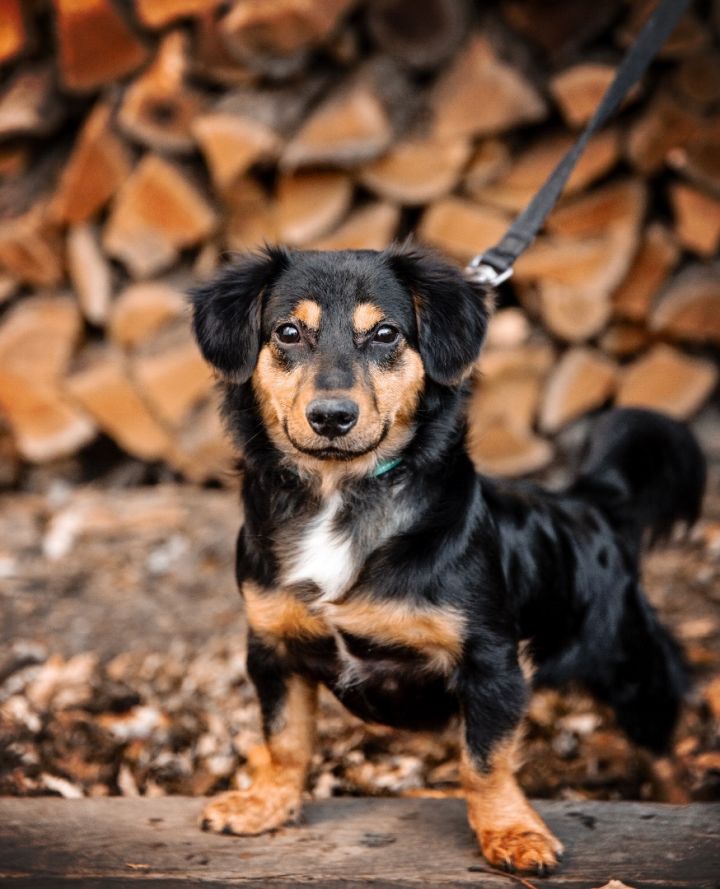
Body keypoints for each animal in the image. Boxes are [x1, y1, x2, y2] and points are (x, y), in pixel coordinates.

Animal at [188, 245, 704, 876]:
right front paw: (265, 805)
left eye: (385, 334)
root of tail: (591, 502)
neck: (344, 496)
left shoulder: (491, 661)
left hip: (634, 670)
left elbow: (483, 761)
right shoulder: (272, 649)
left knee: (663, 740)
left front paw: (512, 833)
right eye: (288, 332)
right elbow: (284, 739)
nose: (331, 416)